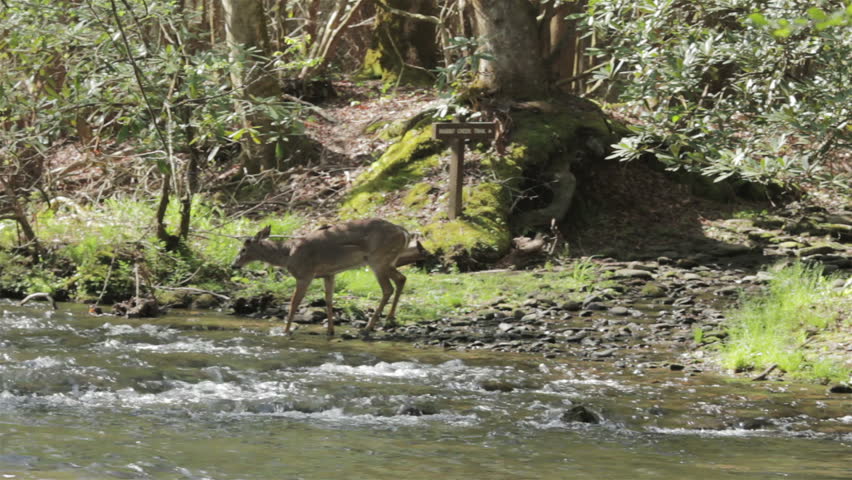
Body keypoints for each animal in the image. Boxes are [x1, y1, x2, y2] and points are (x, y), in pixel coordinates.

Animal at [231, 218, 416, 336]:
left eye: (243, 249)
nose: (234, 265)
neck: (288, 254)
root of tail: (404, 232)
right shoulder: (329, 273)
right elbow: (328, 300)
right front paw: (330, 331)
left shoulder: (305, 274)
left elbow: (293, 303)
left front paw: (285, 331)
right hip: (388, 261)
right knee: (401, 279)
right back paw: (389, 319)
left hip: (378, 259)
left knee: (388, 288)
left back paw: (369, 327)